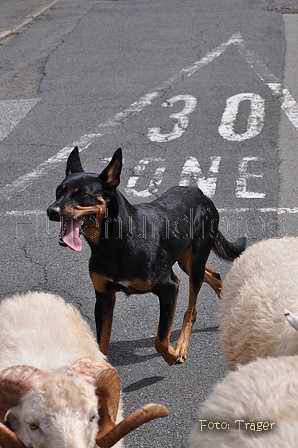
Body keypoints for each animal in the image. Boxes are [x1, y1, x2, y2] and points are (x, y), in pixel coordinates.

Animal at [47, 147, 247, 364]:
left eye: (82, 194)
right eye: (59, 191)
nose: (51, 211)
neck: (114, 242)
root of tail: (202, 194)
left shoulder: (170, 287)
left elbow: (160, 339)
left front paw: (172, 354)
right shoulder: (104, 297)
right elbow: (101, 344)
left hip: (195, 261)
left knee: (191, 309)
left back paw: (182, 345)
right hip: (186, 260)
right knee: (213, 276)